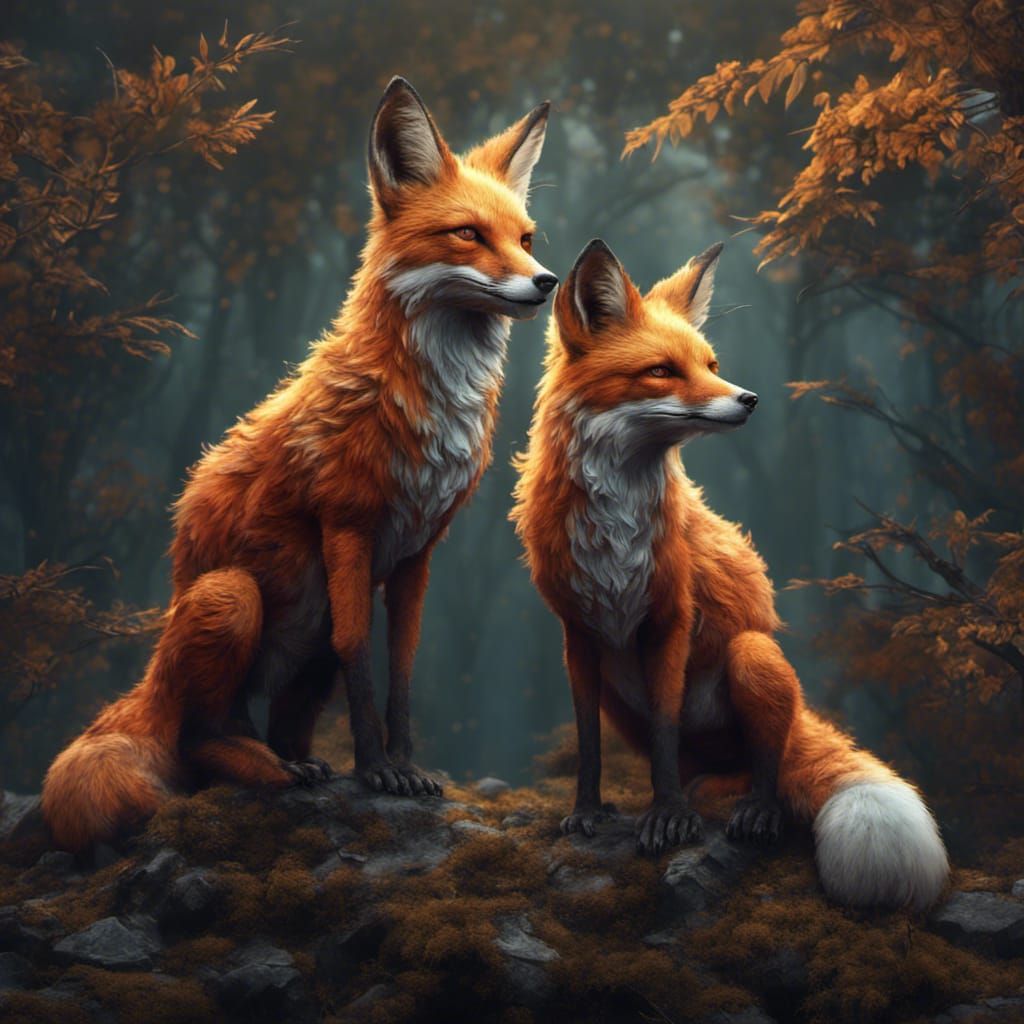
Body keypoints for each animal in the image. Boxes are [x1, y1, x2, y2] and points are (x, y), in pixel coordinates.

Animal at [42, 77, 557, 854]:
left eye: (525, 239)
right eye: (468, 234)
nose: (549, 281)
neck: (426, 407)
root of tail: (155, 665)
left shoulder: (418, 551)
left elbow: (400, 666)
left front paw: (406, 765)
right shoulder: (347, 525)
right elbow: (360, 651)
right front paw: (377, 772)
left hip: (303, 648)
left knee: (274, 727)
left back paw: (298, 760)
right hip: (232, 597)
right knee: (199, 741)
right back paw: (268, 769)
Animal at [511, 238, 949, 911]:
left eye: (711, 363)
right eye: (662, 370)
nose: (749, 399)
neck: (615, 531)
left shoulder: (671, 618)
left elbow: (667, 724)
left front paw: (667, 817)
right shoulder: (578, 632)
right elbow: (589, 741)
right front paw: (589, 811)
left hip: (751, 655)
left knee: (766, 767)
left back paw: (752, 809)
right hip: (620, 689)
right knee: (698, 766)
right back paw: (702, 793)